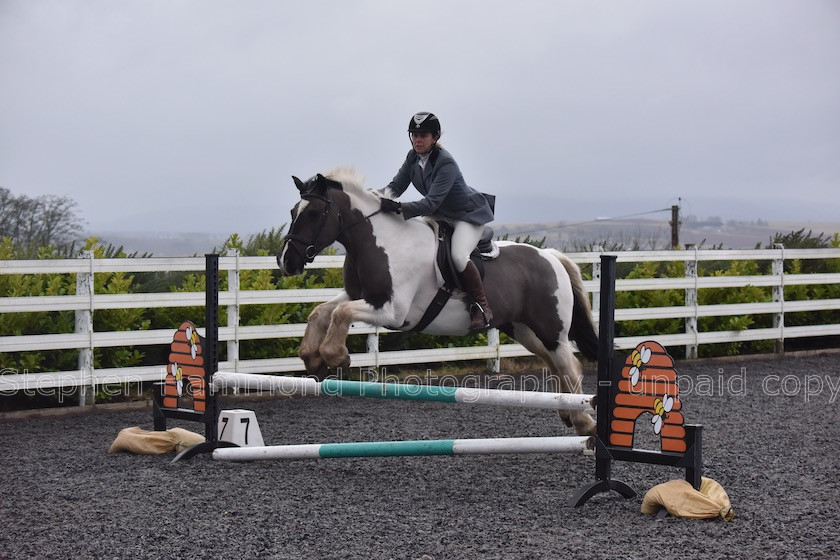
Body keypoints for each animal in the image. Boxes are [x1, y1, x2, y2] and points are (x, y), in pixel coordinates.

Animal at [278, 168, 600, 436]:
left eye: (314, 213)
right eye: (294, 211)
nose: (286, 262)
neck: (381, 242)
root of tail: (550, 256)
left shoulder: (393, 312)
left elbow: (341, 313)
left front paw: (335, 356)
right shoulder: (363, 297)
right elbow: (321, 312)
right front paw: (311, 357)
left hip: (550, 329)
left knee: (568, 364)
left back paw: (584, 421)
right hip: (523, 329)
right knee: (554, 362)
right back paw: (566, 412)